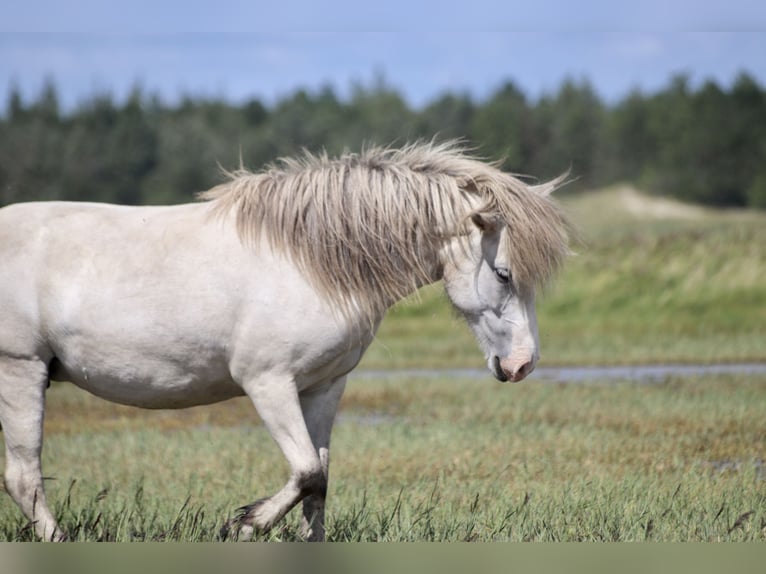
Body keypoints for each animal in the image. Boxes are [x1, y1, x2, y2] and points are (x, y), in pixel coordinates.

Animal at [0, 142, 568, 544]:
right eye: (503, 273)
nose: (523, 364)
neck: (312, 261)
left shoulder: (323, 387)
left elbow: (319, 482)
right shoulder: (268, 383)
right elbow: (306, 470)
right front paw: (244, 524)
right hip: (21, 371)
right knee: (25, 477)